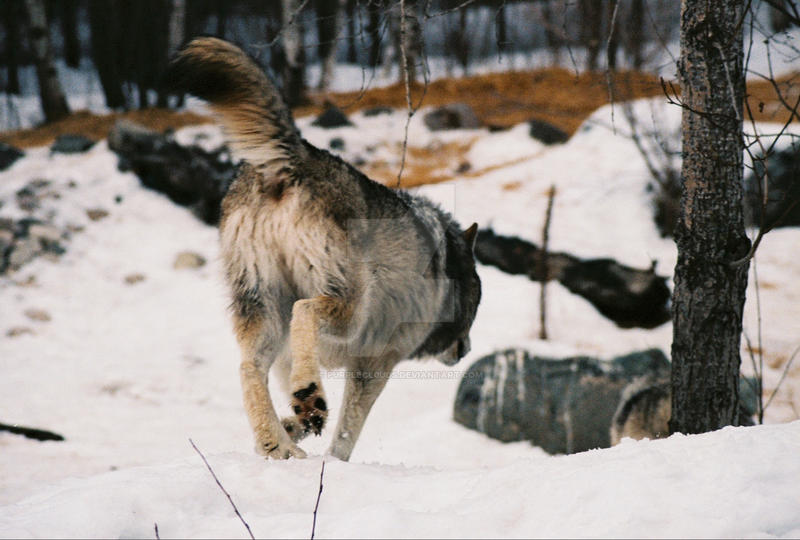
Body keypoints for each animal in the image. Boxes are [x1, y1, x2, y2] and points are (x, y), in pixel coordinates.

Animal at [166, 38, 482, 461]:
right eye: (476, 307)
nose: (465, 350)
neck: (444, 272)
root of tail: (292, 159)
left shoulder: (289, 357)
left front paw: (291, 428)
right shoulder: (375, 362)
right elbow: (350, 427)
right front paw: (332, 457)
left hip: (262, 312)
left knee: (248, 367)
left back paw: (278, 443)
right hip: (348, 308)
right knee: (304, 311)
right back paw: (308, 400)